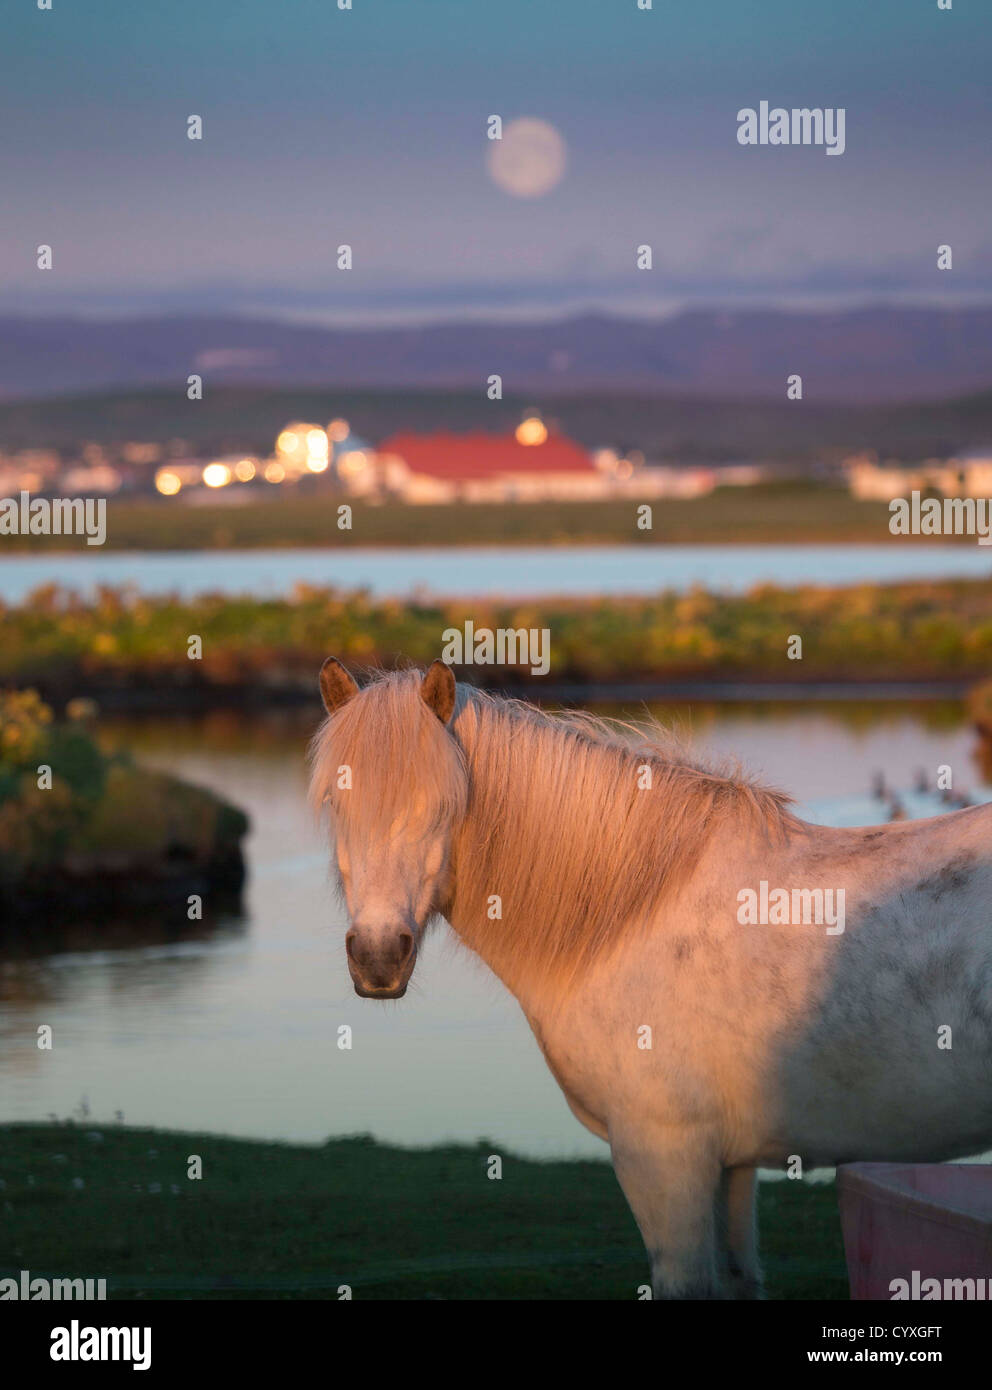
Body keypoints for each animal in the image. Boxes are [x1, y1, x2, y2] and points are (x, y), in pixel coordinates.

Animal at [308, 656, 989, 1295]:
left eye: (441, 806)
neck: (633, 918)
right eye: (335, 804)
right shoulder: (730, 1166)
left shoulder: (664, 1158)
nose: (377, 957)